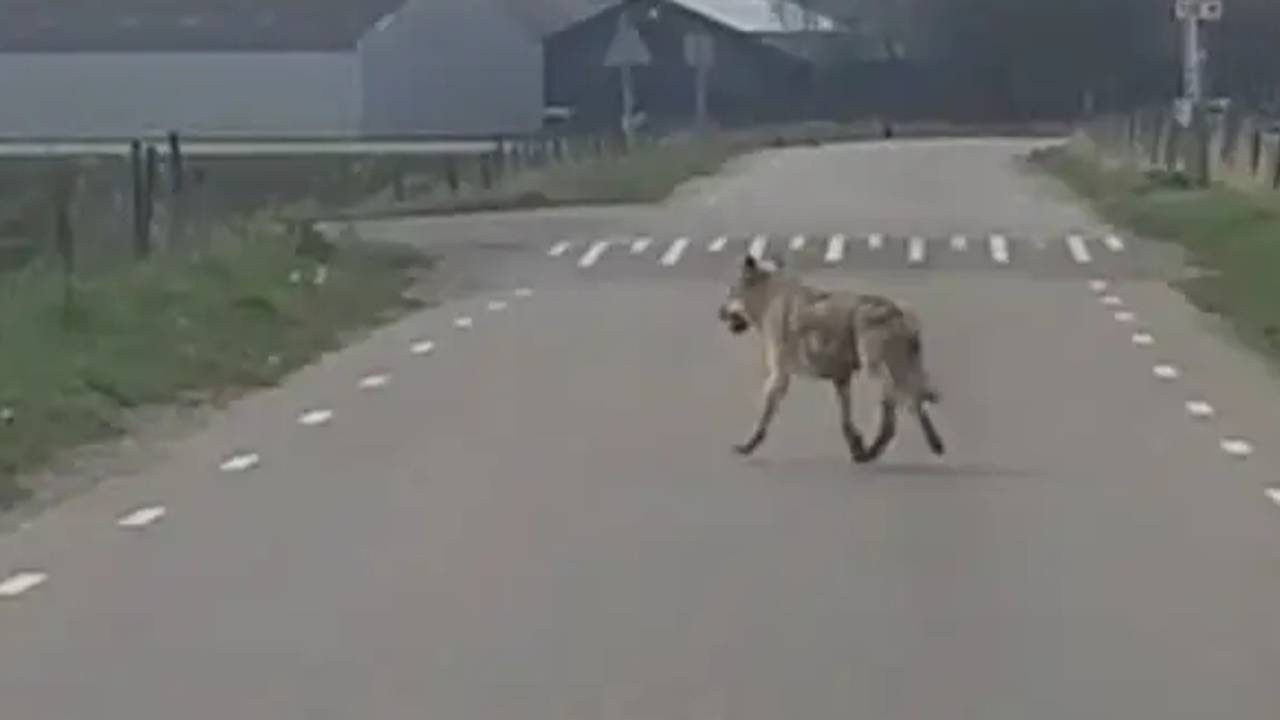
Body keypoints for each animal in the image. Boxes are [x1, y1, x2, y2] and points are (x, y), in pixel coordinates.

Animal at [717, 253, 945, 463]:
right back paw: (933, 444)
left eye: (730, 292)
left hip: (877, 369)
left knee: (897, 405)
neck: (769, 296)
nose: (719, 313)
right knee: (915, 401)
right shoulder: (841, 378)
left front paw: (749, 445)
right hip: (903, 369)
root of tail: (897, 312)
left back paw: (875, 449)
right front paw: (856, 444)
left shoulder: (778, 376)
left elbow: (764, 417)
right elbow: (846, 420)